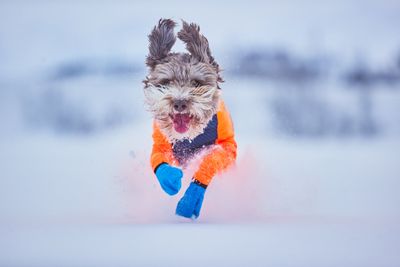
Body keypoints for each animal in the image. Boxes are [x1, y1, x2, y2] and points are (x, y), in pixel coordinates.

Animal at [144, 19, 238, 220]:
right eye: (166, 82)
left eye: (196, 82)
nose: (179, 103)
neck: (190, 137)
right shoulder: (161, 143)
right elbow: (159, 161)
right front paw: (171, 179)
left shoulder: (228, 145)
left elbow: (212, 158)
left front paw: (191, 198)